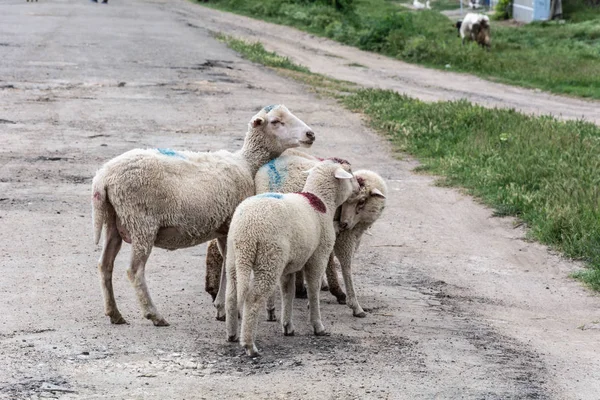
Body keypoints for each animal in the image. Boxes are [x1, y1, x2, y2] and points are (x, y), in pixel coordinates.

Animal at [91, 104, 316, 326]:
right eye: (276, 121)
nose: (310, 134)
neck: (247, 164)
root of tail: (104, 177)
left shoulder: (223, 229)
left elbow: (226, 265)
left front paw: (222, 307)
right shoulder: (230, 225)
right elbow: (229, 266)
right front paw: (228, 309)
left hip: (114, 222)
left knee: (105, 265)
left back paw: (114, 313)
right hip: (141, 222)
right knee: (134, 270)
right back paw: (154, 314)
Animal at [224, 159, 358, 356]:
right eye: (350, 173)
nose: (359, 187)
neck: (322, 201)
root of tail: (246, 230)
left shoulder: (289, 265)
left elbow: (289, 292)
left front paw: (287, 326)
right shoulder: (318, 256)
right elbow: (313, 289)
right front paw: (318, 326)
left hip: (234, 258)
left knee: (231, 296)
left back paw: (232, 334)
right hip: (269, 259)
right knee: (253, 298)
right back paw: (249, 345)